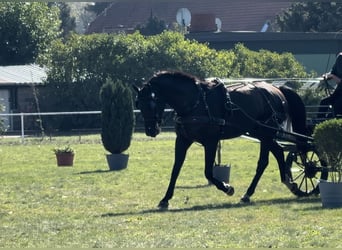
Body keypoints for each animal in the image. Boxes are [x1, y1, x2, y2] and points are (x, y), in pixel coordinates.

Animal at [134, 69, 308, 208]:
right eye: (139, 104)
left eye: (152, 102)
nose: (151, 131)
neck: (195, 102)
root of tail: (276, 89)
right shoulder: (183, 140)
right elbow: (175, 169)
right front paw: (165, 199)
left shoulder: (210, 142)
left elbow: (208, 172)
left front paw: (227, 187)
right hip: (261, 133)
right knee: (276, 153)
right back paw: (284, 184)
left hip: (266, 132)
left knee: (267, 160)